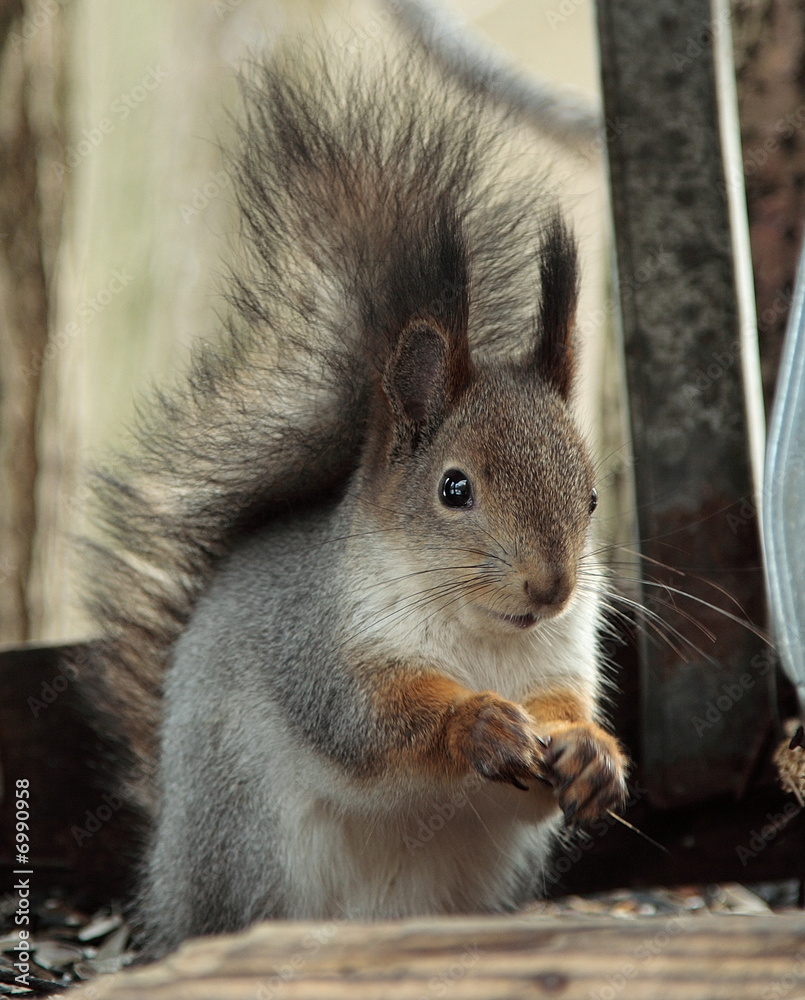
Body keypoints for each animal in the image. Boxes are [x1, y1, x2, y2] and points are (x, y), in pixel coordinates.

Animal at [77, 41, 628, 958]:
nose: (550, 587)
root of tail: (167, 887)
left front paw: (589, 753)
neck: (483, 638)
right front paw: (478, 724)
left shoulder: (560, 658)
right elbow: (373, 724)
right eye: (453, 487)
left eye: (589, 497)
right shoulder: (323, 650)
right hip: (251, 843)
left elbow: (560, 721)